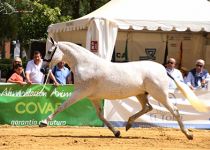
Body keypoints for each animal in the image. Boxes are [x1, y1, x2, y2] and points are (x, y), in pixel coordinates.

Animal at [39, 37, 207, 139]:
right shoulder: (93, 97)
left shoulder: (80, 93)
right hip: (141, 94)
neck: (86, 65)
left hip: (160, 94)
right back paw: (128, 124)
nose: (43, 69)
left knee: (175, 111)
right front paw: (117, 132)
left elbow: (61, 106)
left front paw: (43, 122)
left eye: (49, 51)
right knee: (148, 107)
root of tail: (163, 68)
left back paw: (188, 134)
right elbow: (101, 116)